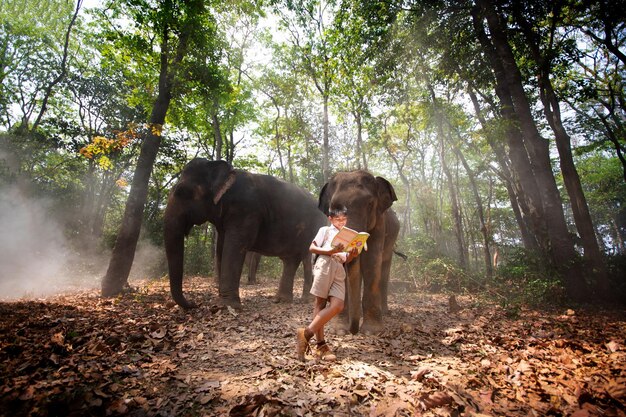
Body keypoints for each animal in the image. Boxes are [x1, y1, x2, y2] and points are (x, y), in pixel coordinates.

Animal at [163, 158, 326, 308]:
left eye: (183, 192)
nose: (194, 304)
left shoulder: (246, 210)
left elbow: (235, 246)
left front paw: (226, 306)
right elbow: (221, 247)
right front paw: (219, 303)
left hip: (315, 228)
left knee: (304, 257)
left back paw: (304, 300)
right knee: (291, 260)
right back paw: (282, 301)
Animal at [320, 170, 398, 334]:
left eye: (370, 204)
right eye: (333, 209)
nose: (353, 331)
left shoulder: (379, 223)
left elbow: (371, 262)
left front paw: (371, 332)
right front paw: (339, 330)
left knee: (384, 269)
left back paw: (385, 312)